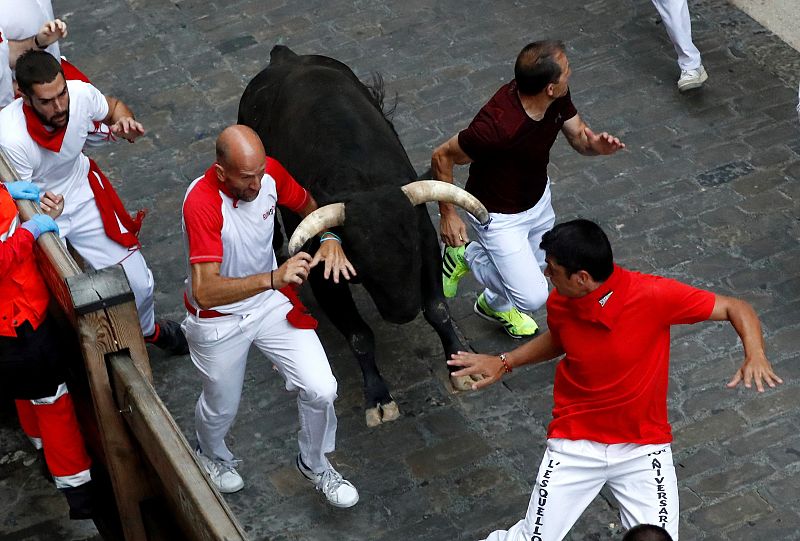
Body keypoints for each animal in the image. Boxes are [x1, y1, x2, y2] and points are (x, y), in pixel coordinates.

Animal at [238, 45, 476, 426]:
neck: (363, 181)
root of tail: (285, 57)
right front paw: (378, 398)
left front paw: (460, 368)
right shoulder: (323, 275)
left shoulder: (426, 242)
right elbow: (360, 335)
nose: (403, 312)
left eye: (411, 252)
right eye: (362, 264)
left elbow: (438, 308)